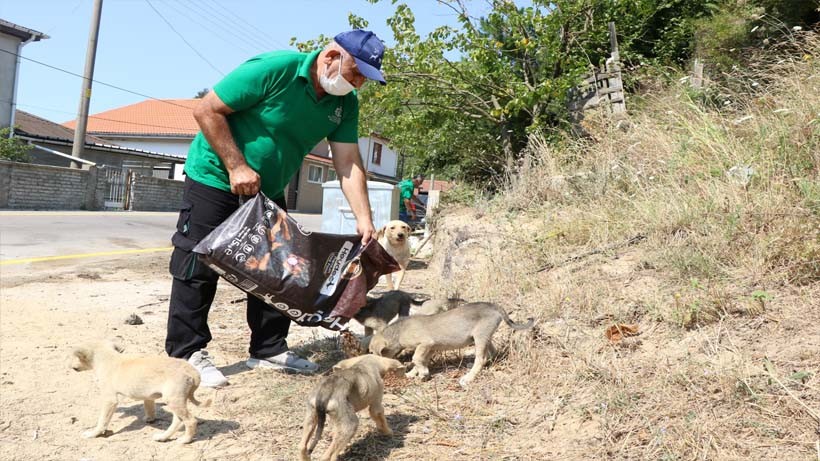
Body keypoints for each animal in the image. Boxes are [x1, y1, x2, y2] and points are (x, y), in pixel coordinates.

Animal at [70, 340, 210, 444]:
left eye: (76, 357)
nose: (71, 367)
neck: (108, 357)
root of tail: (192, 371)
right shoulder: (148, 395)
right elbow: (149, 406)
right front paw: (150, 418)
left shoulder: (110, 399)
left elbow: (102, 421)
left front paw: (93, 433)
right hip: (176, 400)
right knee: (178, 421)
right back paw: (163, 437)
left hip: (173, 400)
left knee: (191, 421)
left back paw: (185, 440)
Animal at [368, 302, 536, 384]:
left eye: (372, 353)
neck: (398, 331)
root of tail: (494, 306)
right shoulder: (429, 348)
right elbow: (419, 360)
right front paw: (414, 373)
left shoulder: (425, 343)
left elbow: (415, 358)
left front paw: (422, 373)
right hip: (484, 337)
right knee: (491, 353)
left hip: (480, 337)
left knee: (480, 359)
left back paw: (469, 377)